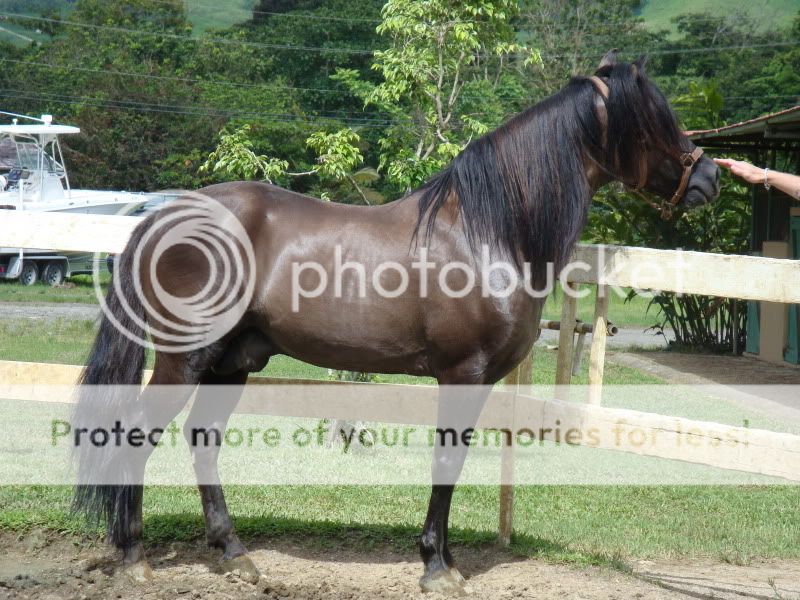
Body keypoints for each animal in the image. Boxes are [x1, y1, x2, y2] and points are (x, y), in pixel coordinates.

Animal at [73, 51, 720, 596]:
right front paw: (437, 565)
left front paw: (442, 558)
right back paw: (133, 557)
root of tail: (165, 215)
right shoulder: (462, 374)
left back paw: (235, 554)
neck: (488, 232)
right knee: (134, 432)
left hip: (234, 361)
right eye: (656, 120)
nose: (710, 178)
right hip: (185, 359)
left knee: (202, 439)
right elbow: (446, 464)